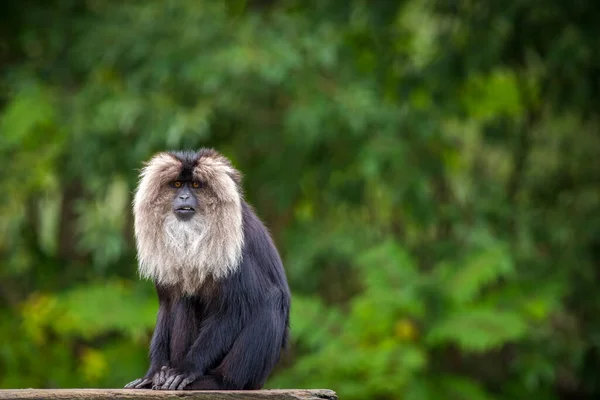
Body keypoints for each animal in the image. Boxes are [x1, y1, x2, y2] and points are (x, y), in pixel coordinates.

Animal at [123, 148, 290, 390]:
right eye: (176, 184)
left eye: (195, 185)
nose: (184, 197)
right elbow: (167, 305)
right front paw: (153, 374)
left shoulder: (237, 248)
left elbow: (234, 308)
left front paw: (187, 370)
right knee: (185, 299)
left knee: (271, 300)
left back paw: (221, 381)